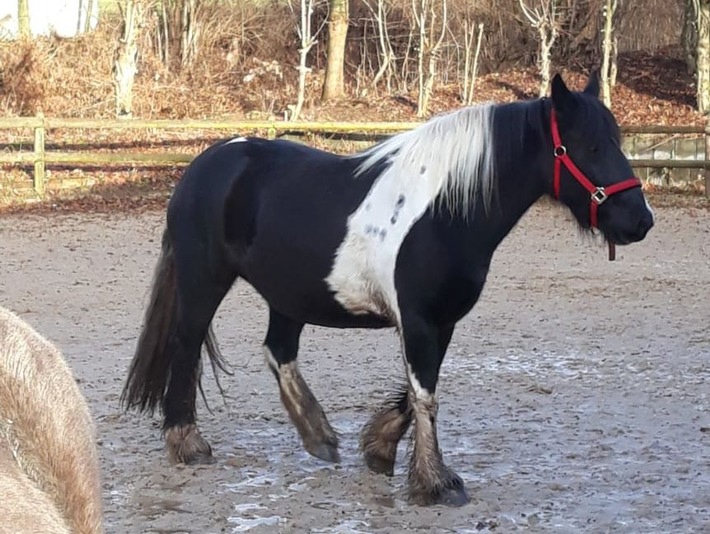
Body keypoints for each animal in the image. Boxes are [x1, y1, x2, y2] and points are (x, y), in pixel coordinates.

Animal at [122, 73, 656, 508]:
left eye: (616, 141)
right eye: (588, 147)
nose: (640, 220)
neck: (444, 213)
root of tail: (205, 163)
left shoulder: (441, 321)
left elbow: (419, 388)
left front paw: (379, 448)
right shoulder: (419, 319)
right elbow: (425, 394)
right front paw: (435, 483)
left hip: (288, 294)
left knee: (278, 352)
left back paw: (318, 435)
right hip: (203, 282)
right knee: (187, 345)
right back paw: (186, 442)